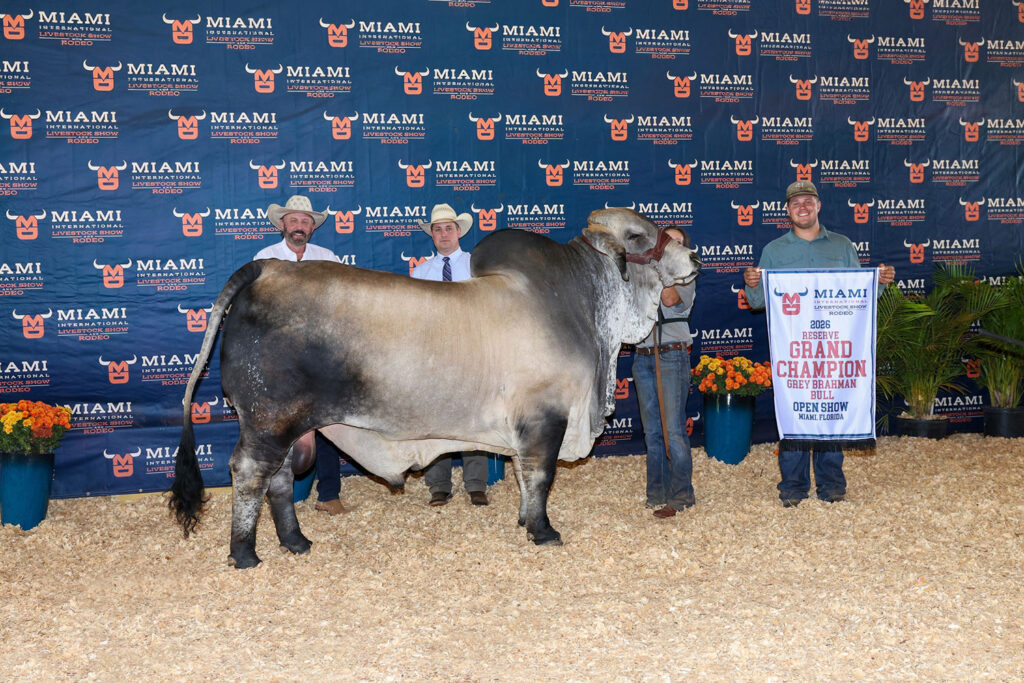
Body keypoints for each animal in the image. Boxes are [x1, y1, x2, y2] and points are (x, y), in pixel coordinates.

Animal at [169, 208, 701, 568]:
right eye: (638, 235)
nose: (694, 255)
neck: (585, 305)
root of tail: (268, 267)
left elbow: (520, 477)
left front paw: (523, 520)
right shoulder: (544, 419)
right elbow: (540, 476)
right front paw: (542, 530)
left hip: (285, 425)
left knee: (278, 479)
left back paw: (295, 542)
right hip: (268, 419)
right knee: (250, 474)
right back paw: (245, 553)